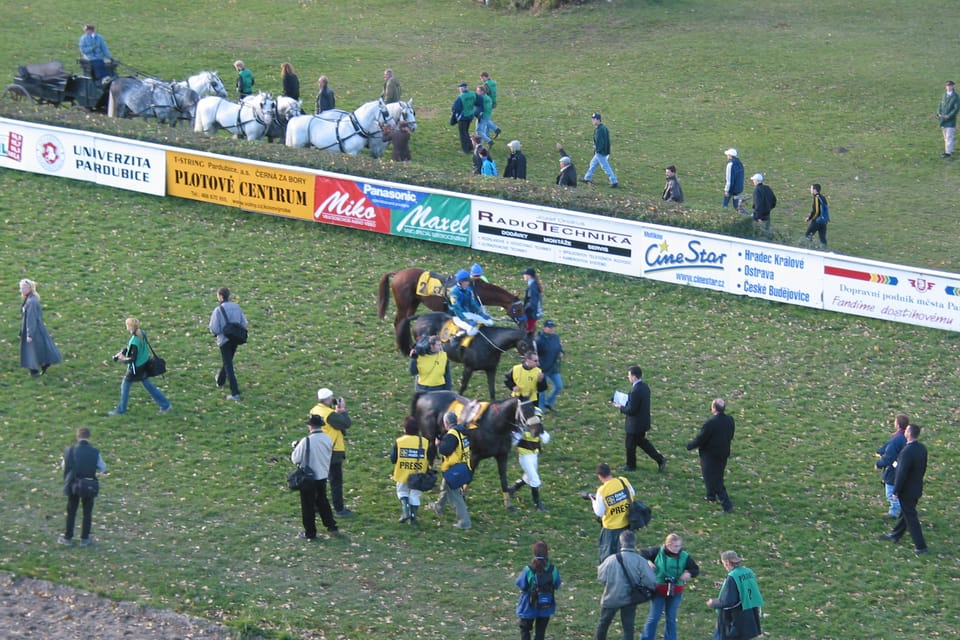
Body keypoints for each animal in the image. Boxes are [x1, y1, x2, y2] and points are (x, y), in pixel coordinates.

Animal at [376, 266, 524, 328]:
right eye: (518, 310)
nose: (524, 324)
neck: (477, 290)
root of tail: (398, 273)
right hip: (403, 305)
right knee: (398, 322)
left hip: (414, 302)